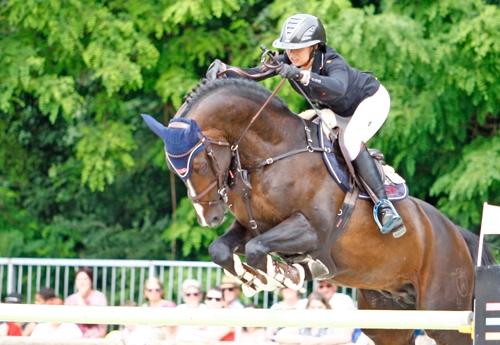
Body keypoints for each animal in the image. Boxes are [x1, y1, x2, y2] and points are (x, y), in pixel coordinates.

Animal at [143, 78, 494, 344]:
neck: (272, 153)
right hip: (388, 318)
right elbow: (222, 249)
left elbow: (259, 249)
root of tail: (458, 235)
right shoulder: (252, 226)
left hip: (445, 314)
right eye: (175, 171)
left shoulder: (311, 230)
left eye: (200, 164)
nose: (210, 218)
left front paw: (282, 274)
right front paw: (254, 277)